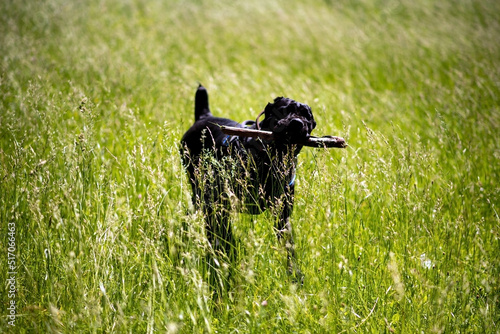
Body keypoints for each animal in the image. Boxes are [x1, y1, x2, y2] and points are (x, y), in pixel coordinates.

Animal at [180, 84, 314, 282]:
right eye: (283, 110)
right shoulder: (219, 205)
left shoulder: (282, 215)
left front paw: (295, 275)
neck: (269, 161)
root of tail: (204, 116)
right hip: (200, 191)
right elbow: (222, 236)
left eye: (307, 117)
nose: (297, 122)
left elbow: (289, 248)